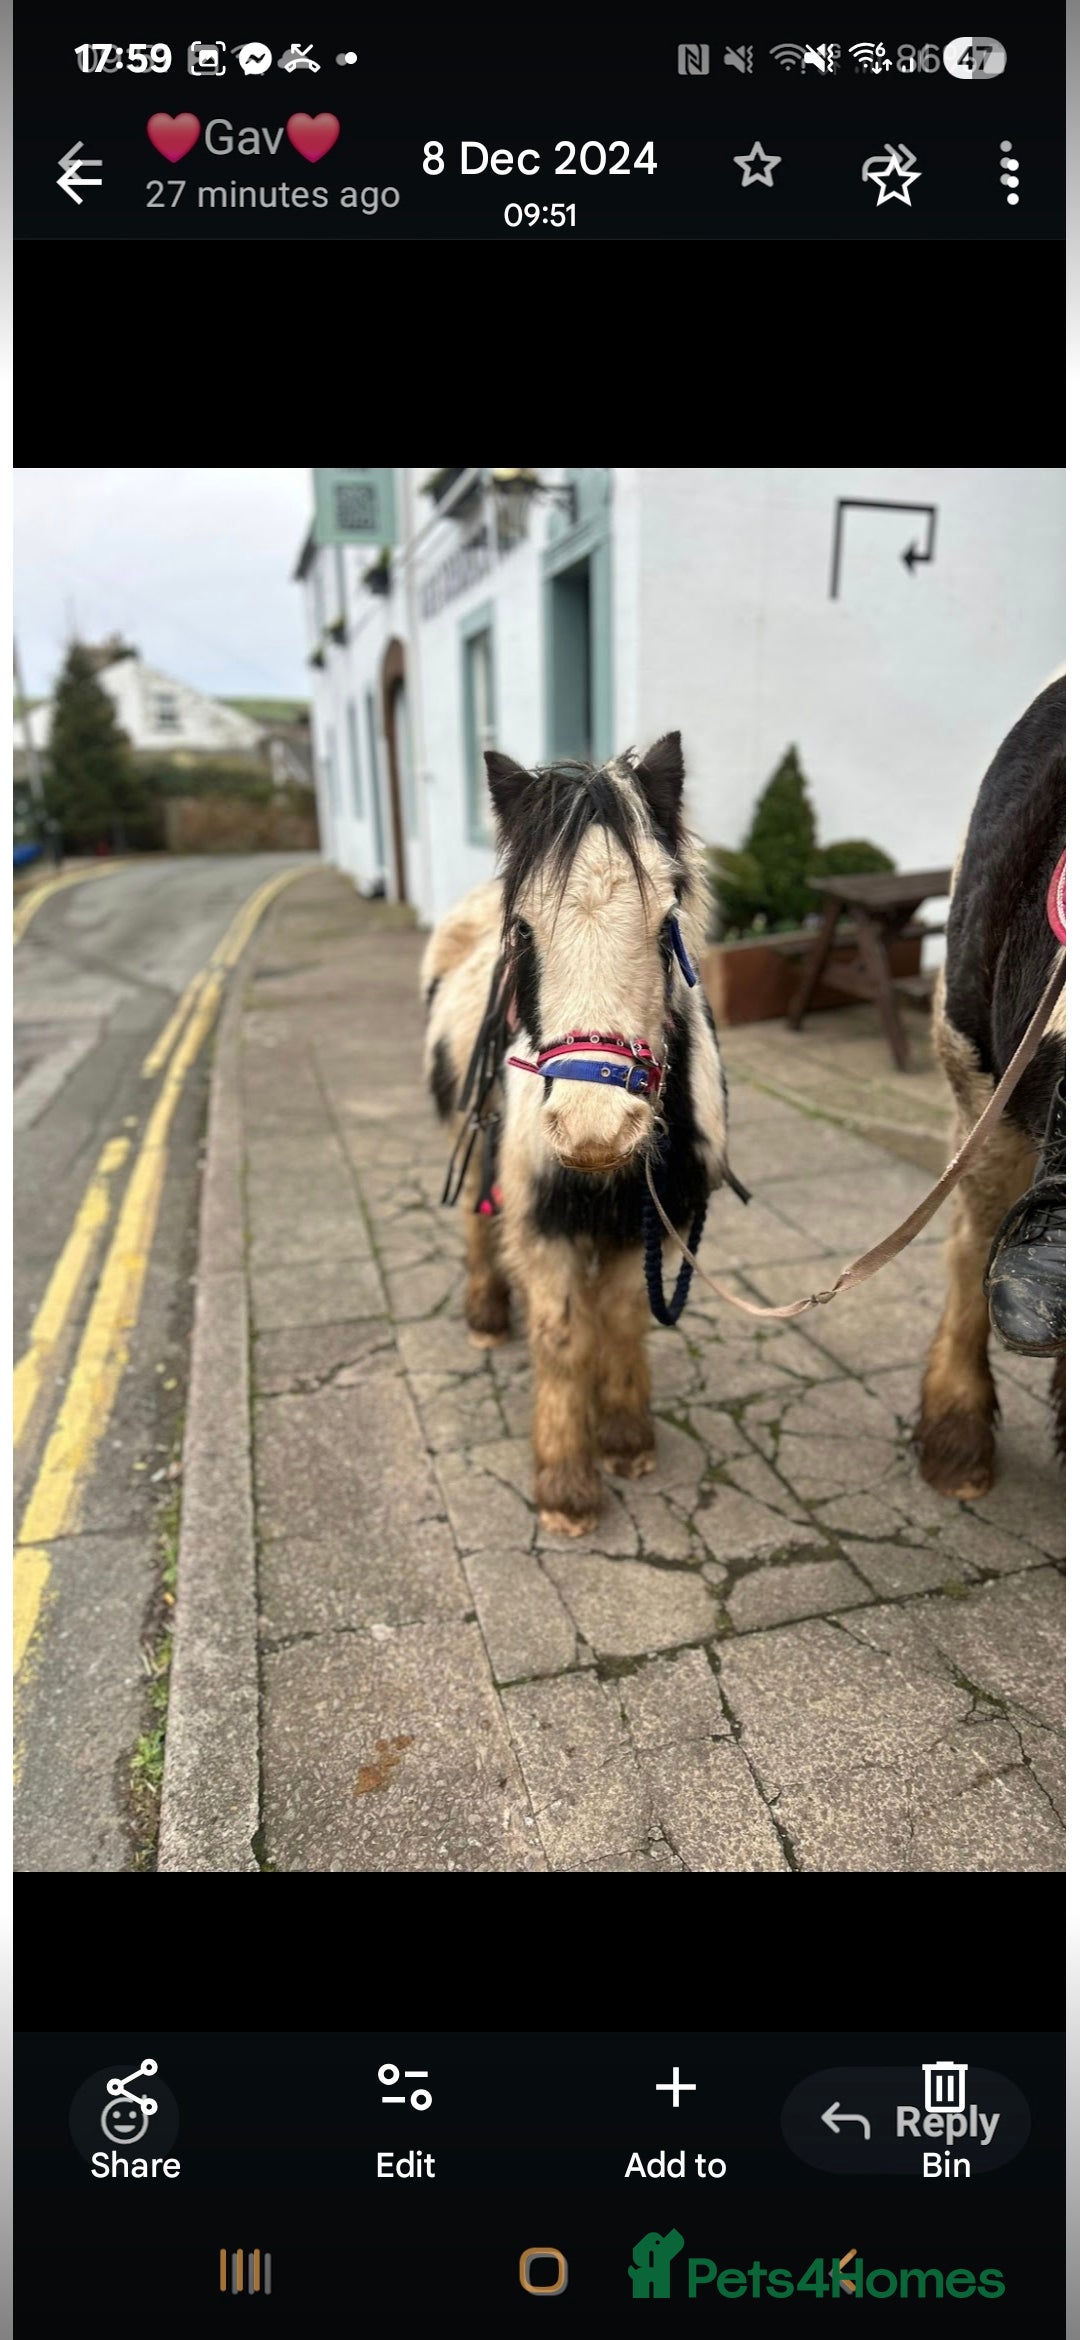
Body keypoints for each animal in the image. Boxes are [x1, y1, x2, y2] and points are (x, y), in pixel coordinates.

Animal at [421, 733, 730, 1536]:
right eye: (525, 929)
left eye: (668, 917)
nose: (596, 1127)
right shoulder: (544, 1220)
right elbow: (562, 1334)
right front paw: (565, 1486)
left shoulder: (642, 1220)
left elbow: (618, 1318)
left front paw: (624, 1437)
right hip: (470, 1138)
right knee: (477, 1217)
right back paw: (487, 1315)